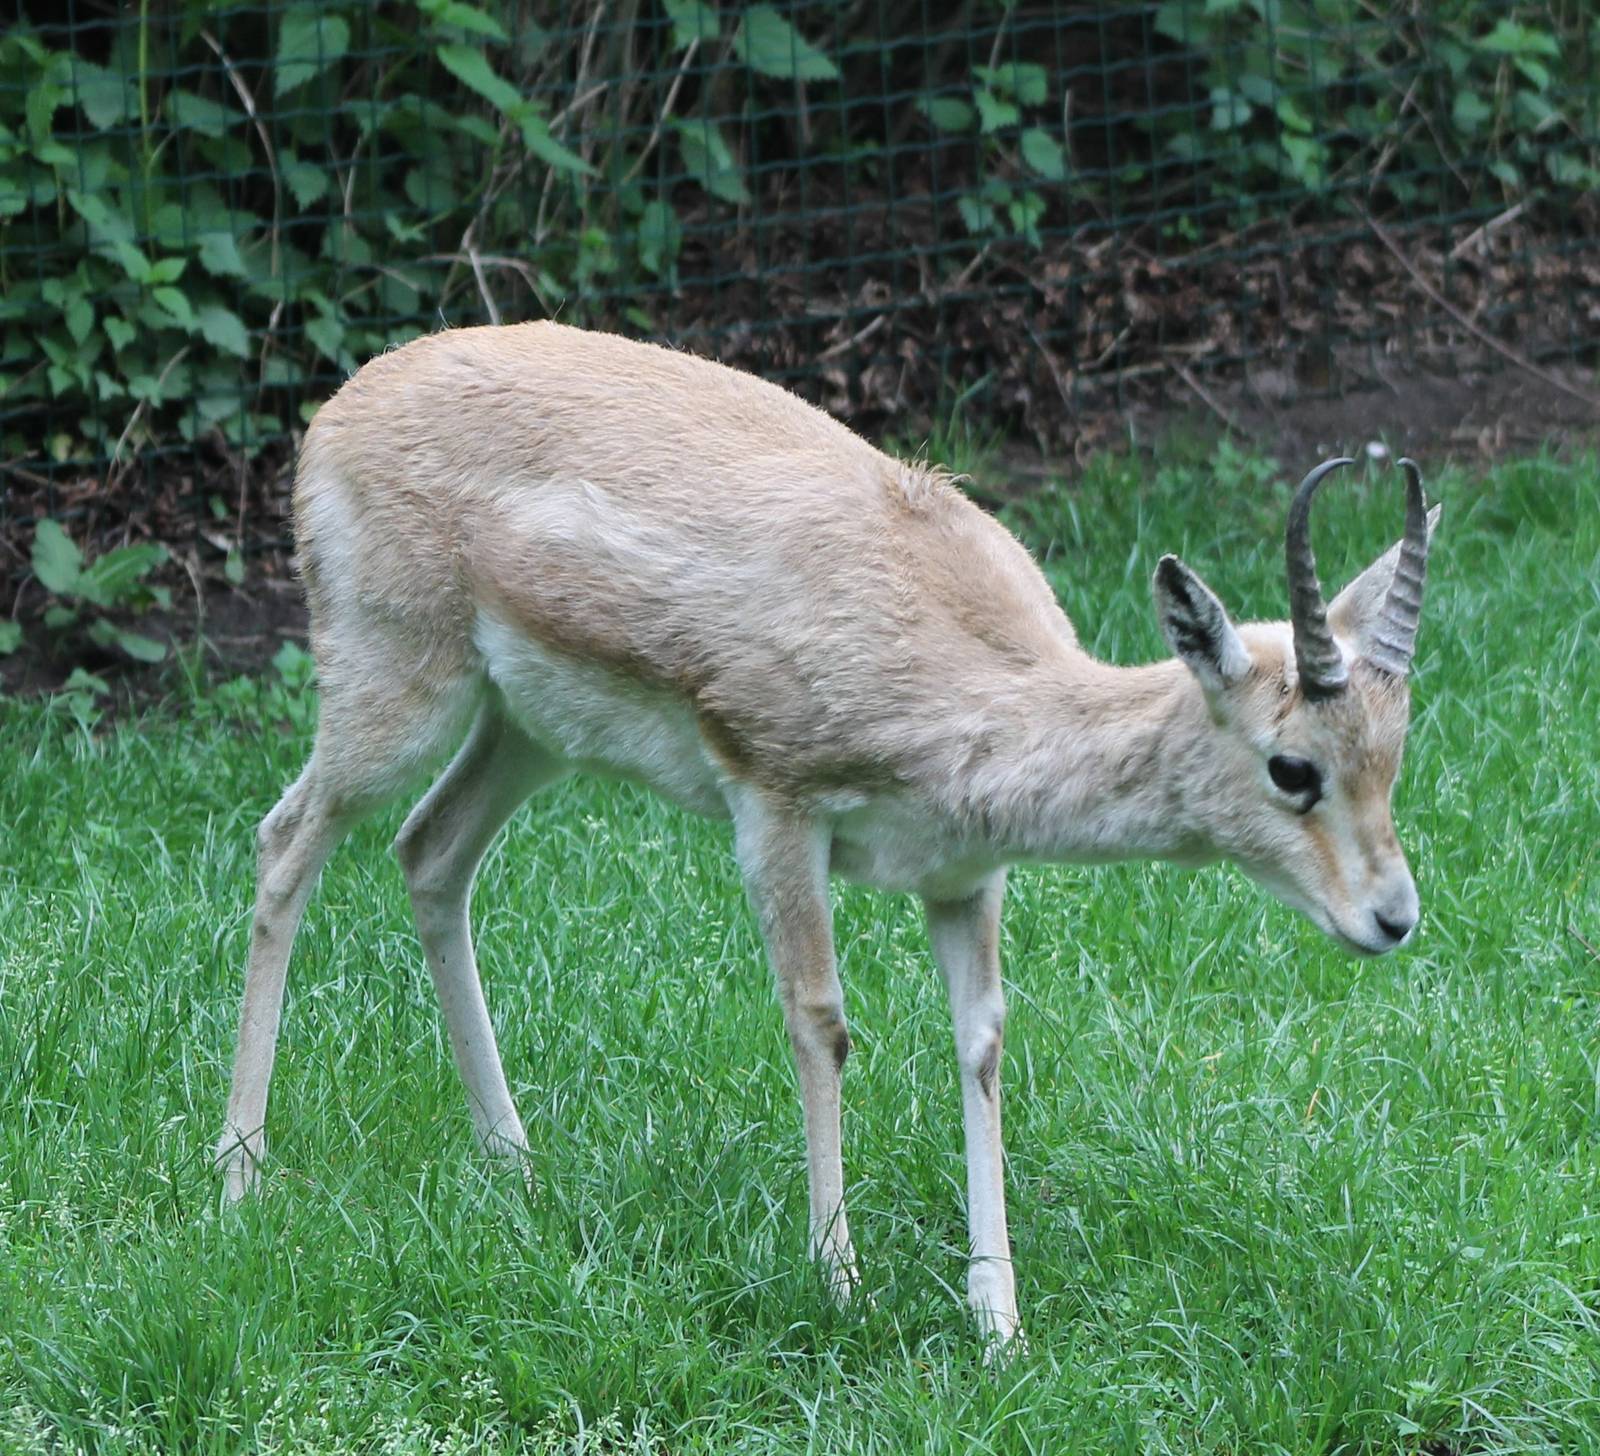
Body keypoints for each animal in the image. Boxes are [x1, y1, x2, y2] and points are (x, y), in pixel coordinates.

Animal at [217, 321, 1437, 1348]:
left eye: (1395, 751)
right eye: (1293, 766)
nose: (1393, 918)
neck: (964, 666)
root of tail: (349, 401)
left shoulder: (964, 875)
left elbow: (981, 1041)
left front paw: (999, 1325)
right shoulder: (776, 812)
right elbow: (821, 1022)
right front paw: (840, 1281)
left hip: (527, 731)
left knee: (431, 853)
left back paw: (515, 1165)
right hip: (396, 691)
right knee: (285, 843)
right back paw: (239, 1177)